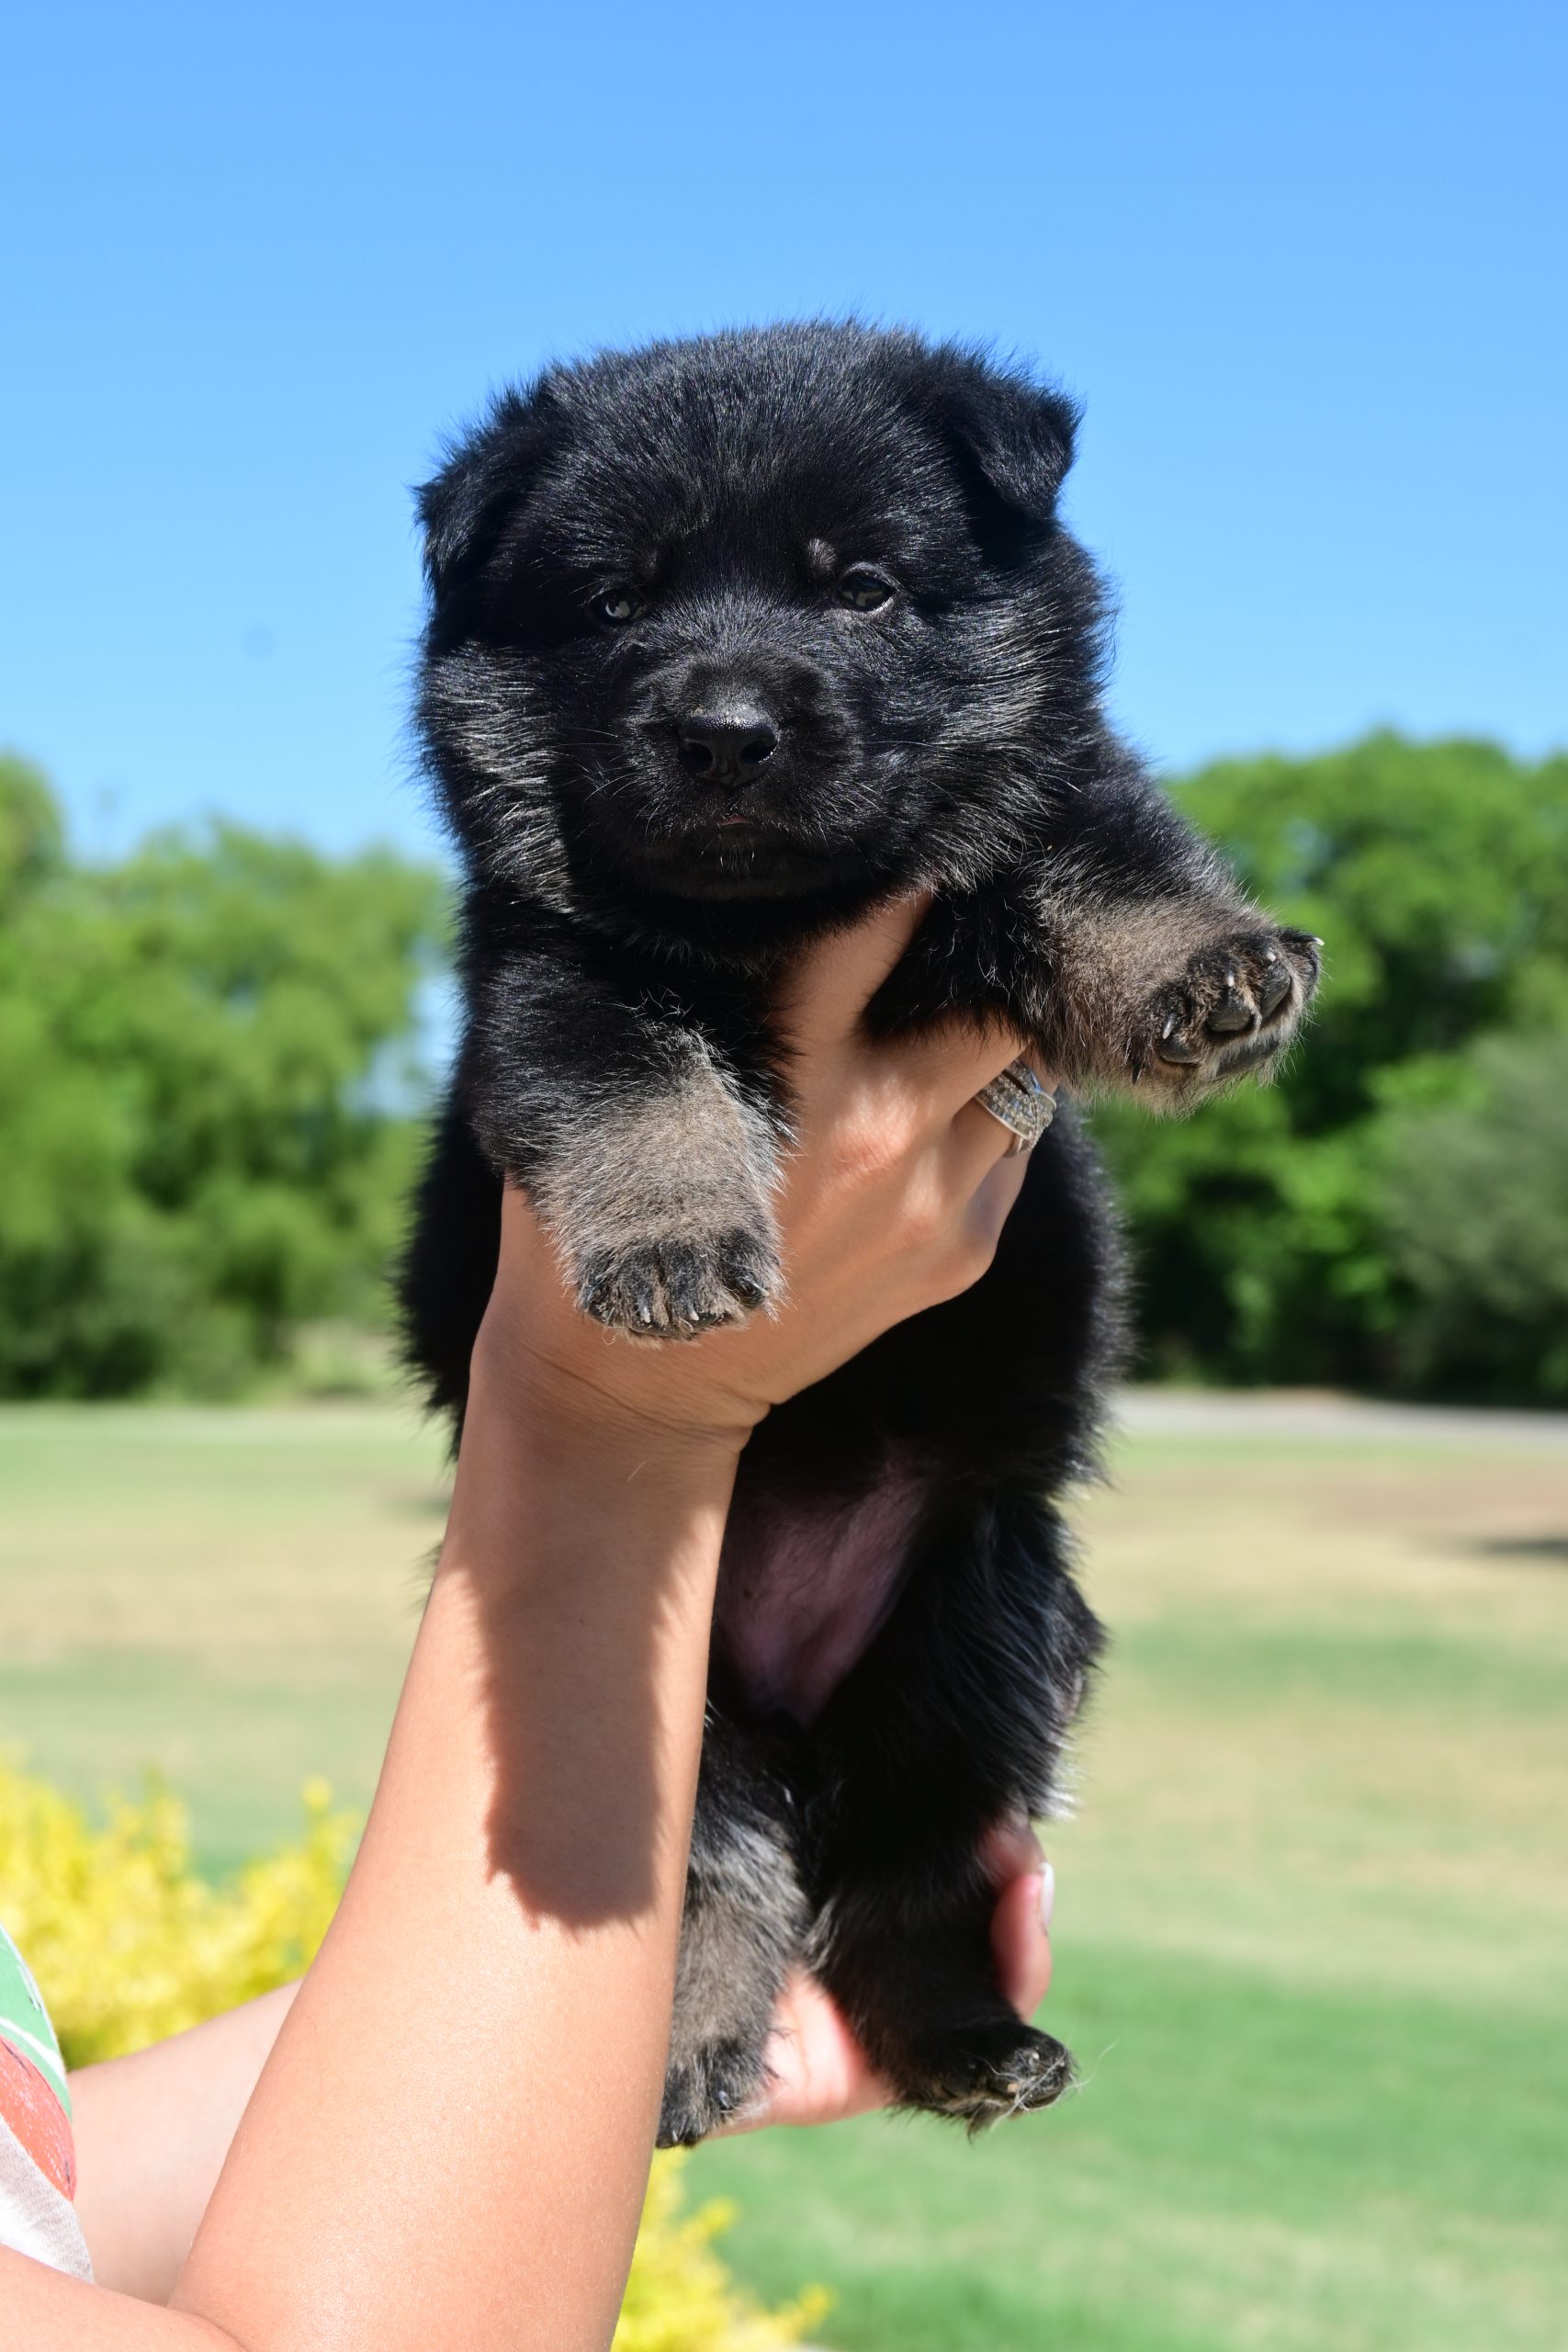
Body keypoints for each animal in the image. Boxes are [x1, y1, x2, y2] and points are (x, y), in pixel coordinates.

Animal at [400, 322, 1316, 2144]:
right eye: (613, 602)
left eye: (864, 589)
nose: (723, 730)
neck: (785, 919)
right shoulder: (552, 983)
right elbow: (635, 1084)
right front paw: (674, 1235)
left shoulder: (1032, 816)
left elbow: (1100, 857)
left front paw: (1205, 964)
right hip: (691, 1710)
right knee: (724, 1877)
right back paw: (692, 2045)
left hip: (976, 1642)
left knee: (903, 1879)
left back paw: (968, 2038)